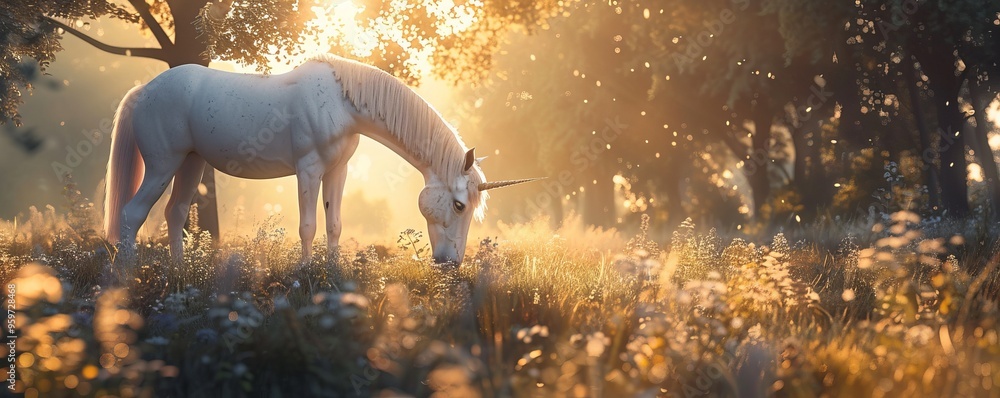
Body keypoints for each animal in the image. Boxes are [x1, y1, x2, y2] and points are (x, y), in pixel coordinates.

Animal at [104, 53, 536, 264]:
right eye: (460, 205)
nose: (451, 263)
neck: (341, 103)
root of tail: (144, 90)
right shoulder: (308, 170)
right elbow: (309, 225)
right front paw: (306, 273)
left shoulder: (337, 172)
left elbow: (334, 224)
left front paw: (330, 272)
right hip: (163, 165)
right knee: (132, 214)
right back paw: (126, 278)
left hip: (191, 163)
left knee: (174, 213)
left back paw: (179, 274)